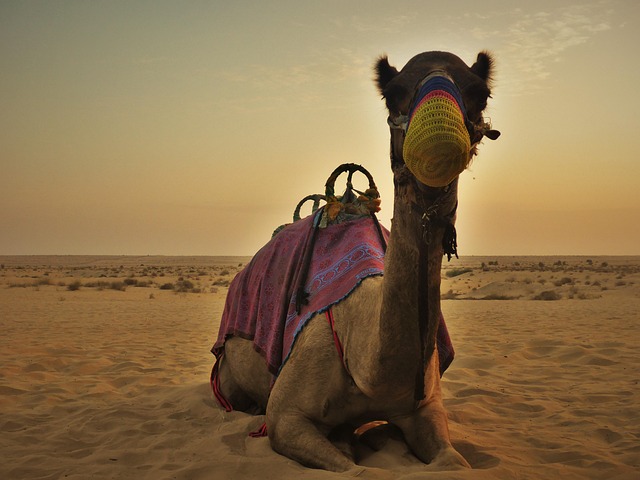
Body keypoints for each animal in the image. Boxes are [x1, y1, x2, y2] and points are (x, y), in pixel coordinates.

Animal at [212, 50, 499, 472]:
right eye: (393, 93)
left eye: (481, 93)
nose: (439, 141)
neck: (366, 363)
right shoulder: (285, 418)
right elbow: (354, 469)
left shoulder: (427, 408)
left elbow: (454, 463)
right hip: (228, 376)